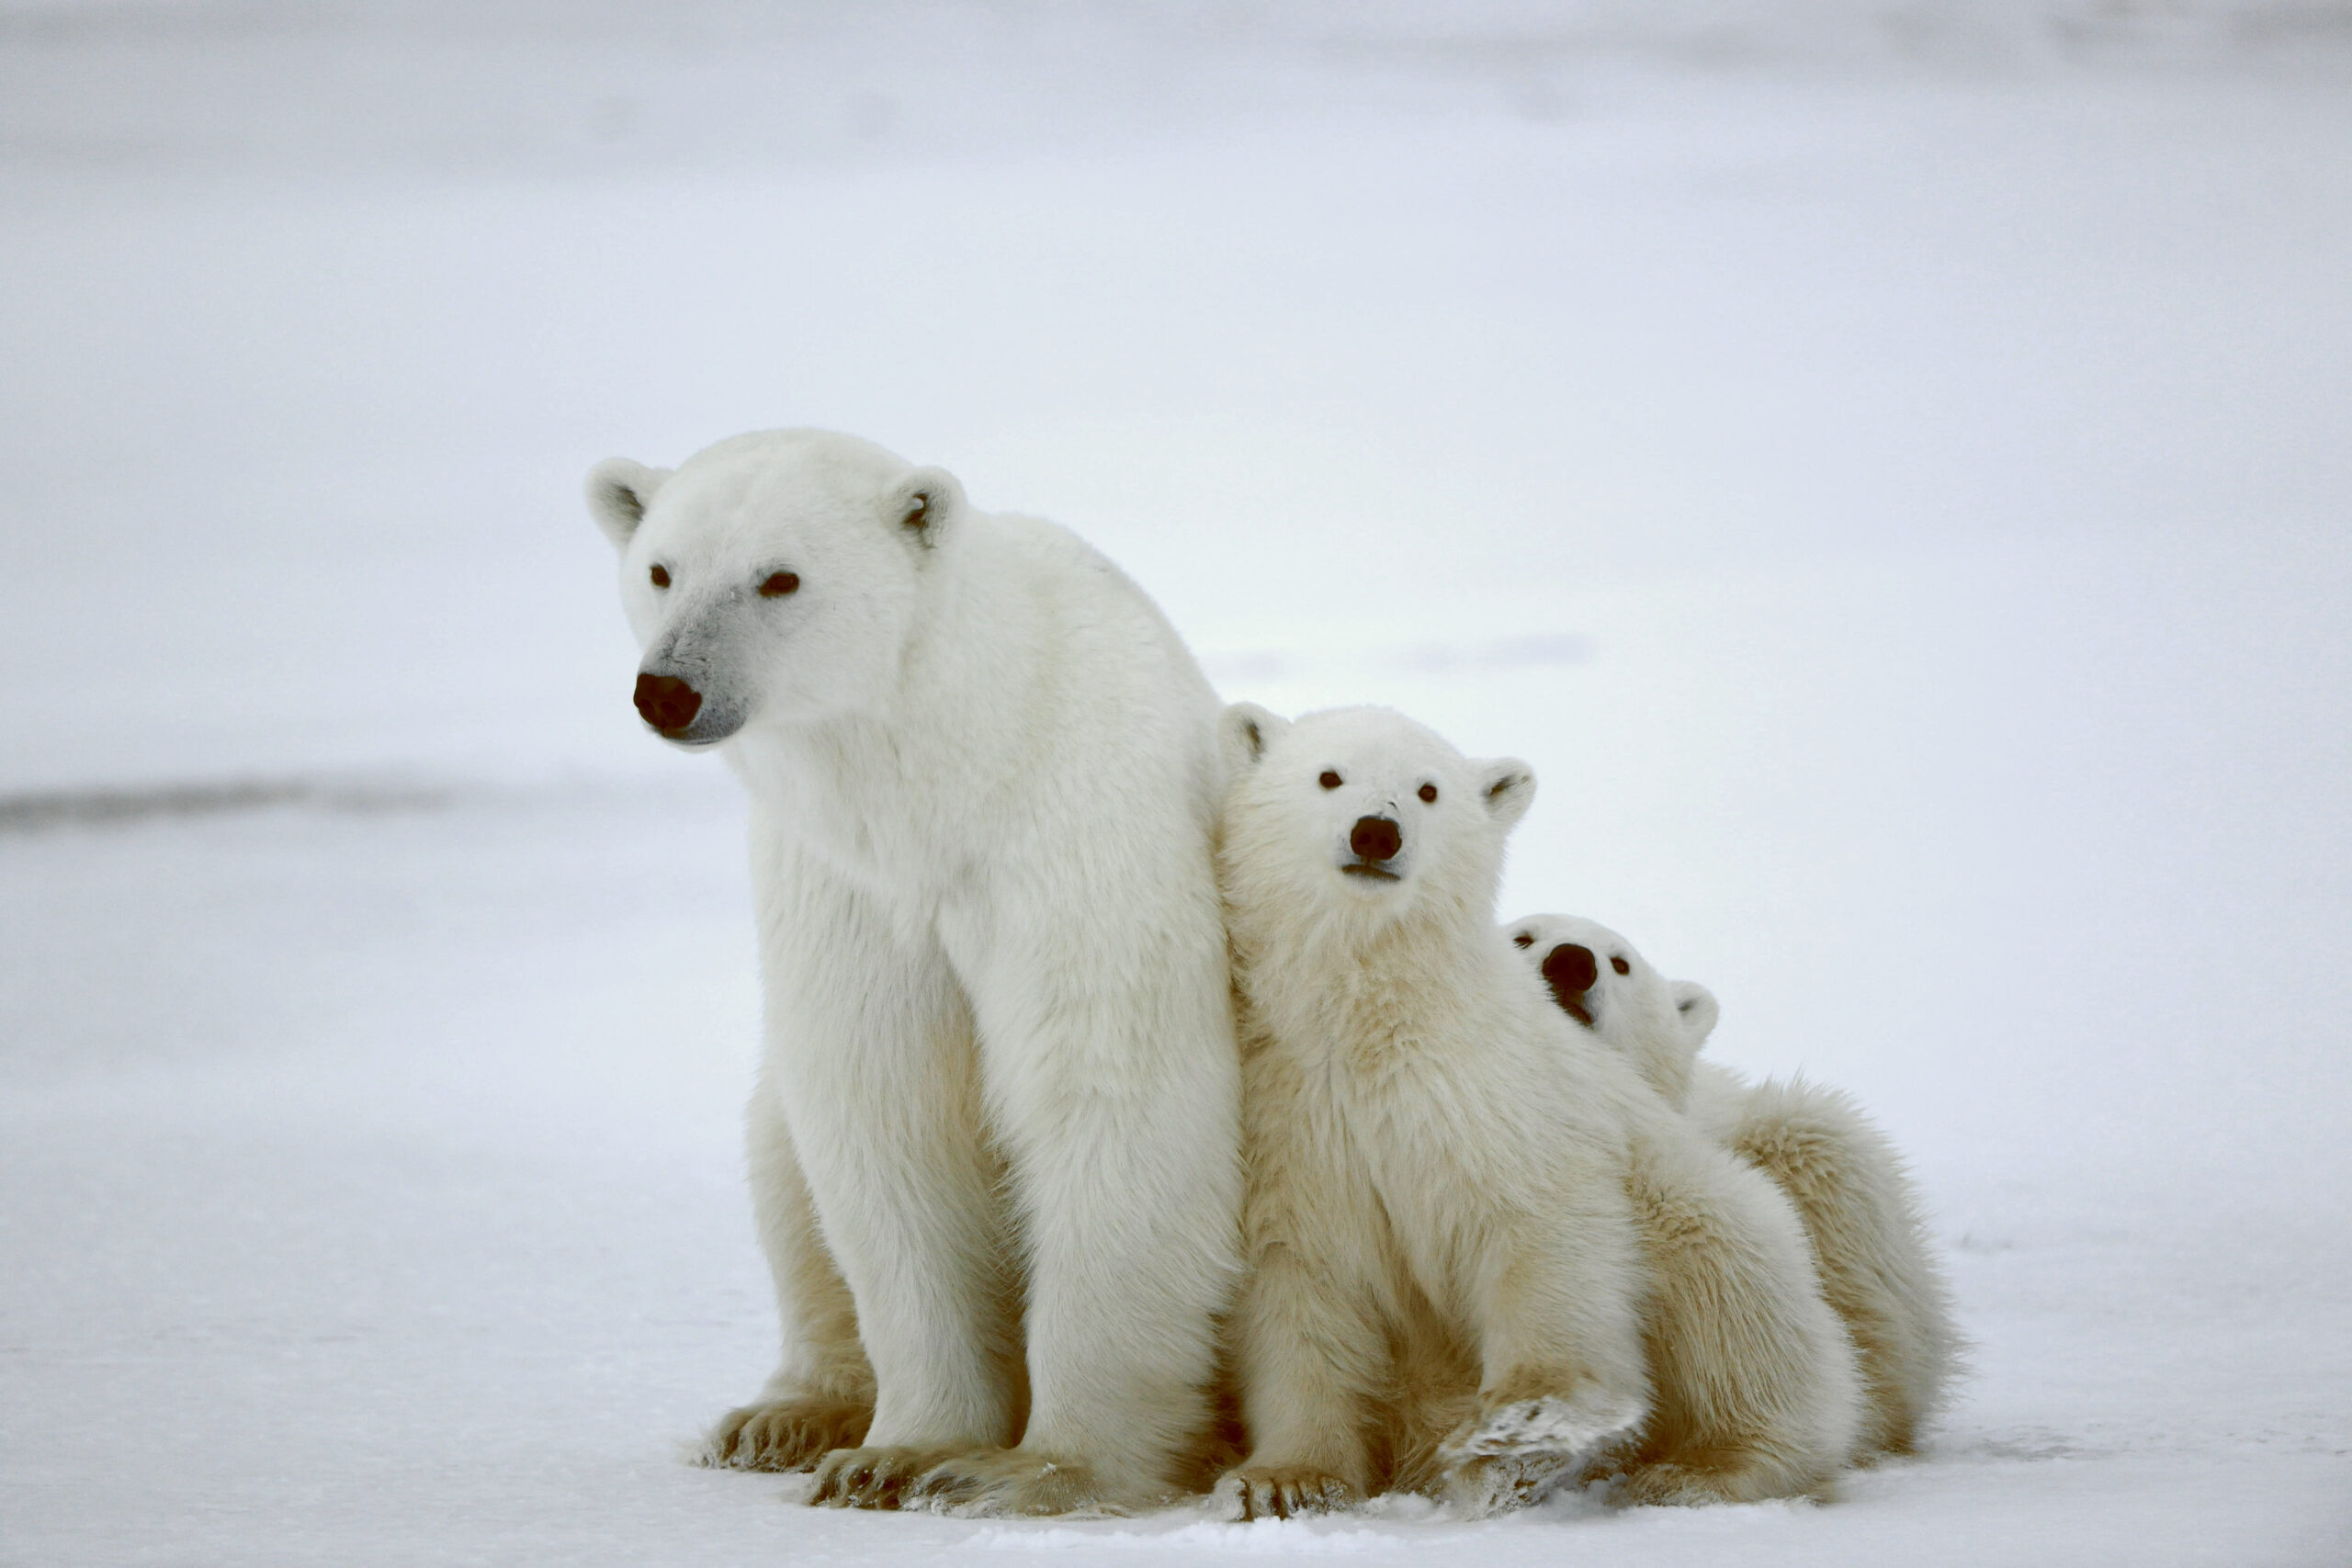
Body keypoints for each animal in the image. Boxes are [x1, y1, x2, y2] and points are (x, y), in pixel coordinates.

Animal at [582, 423, 1250, 1514]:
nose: (668, 689)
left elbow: (1113, 1095)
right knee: (780, 1156)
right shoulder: (848, 886)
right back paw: (783, 1416)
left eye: (780, 577)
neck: (956, 770)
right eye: (661, 569)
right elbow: (885, 1112)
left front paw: (1033, 1469)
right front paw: (895, 1454)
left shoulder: (1081, 837)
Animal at [1213, 709, 1853, 1523]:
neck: (1374, 1020)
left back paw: (1703, 1470)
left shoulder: (1501, 1092)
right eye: (1329, 775)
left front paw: (1518, 1436)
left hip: (1703, 1204)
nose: (1376, 833)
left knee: (1734, 1306)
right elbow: (1301, 1288)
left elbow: (1541, 1231)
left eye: (1428, 789)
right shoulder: (1294, 1117)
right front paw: (1282, 1480)